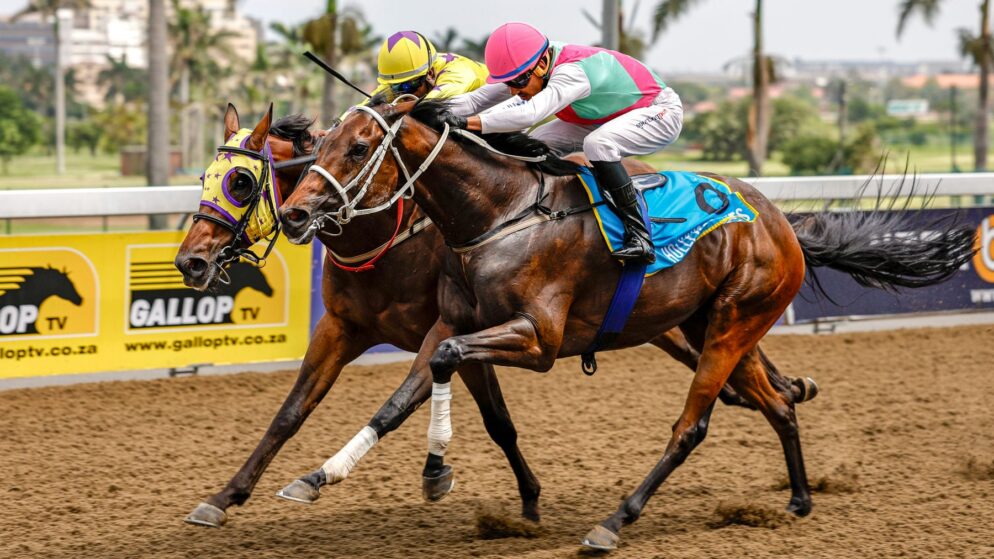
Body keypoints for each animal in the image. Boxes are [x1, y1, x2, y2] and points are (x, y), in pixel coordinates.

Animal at [175, 103, 811, 529]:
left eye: (241, 182)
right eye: (202, 178)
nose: (190, 260)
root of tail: (774, 217)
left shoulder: (481, 335)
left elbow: (405, 403)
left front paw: (338, 475)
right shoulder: (346, 326)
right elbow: (291, 412)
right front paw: (224, 497)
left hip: (717, 325)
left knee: (714, 410)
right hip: (699, 325)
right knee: (766, 395)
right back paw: (799, 482)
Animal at [277, 98, 976, 551]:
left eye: (359, 148)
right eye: (320, 146)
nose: (294, 215)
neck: (500, 214)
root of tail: (782, 223)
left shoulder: (538, 339)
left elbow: (448, 361)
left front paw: (434, 473)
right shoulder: (450, 321)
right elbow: (419, 381)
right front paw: (333, 476)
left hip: (730, 325)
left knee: (692, 426)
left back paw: (615, 521)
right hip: (718, 326)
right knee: (776, 404)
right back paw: (799, 498)